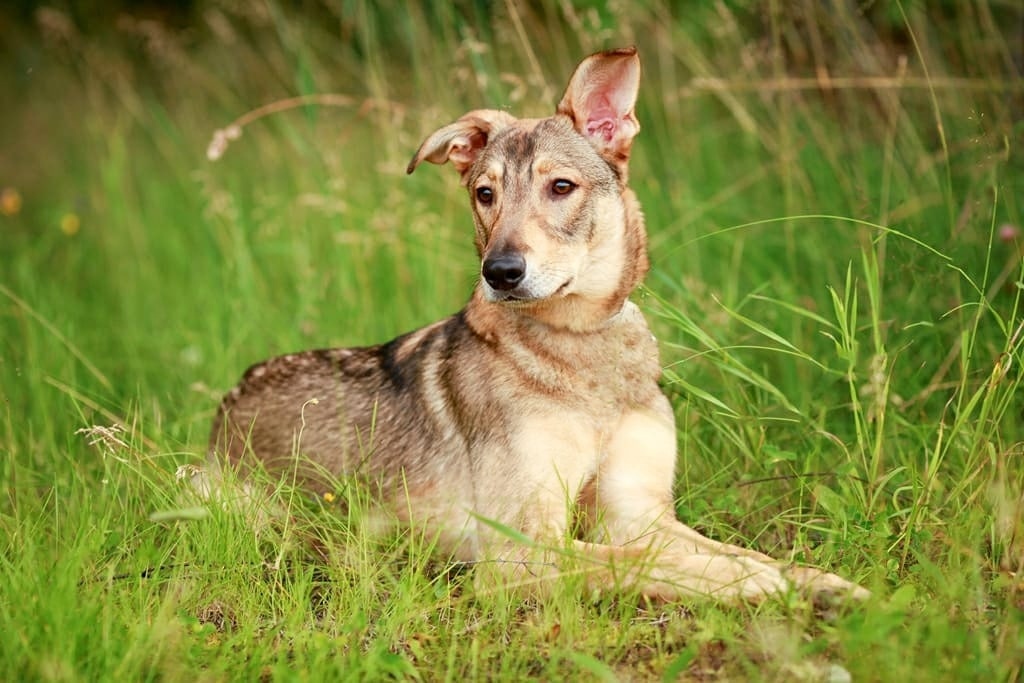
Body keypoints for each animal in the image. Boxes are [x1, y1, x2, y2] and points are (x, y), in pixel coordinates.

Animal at [203, 46, 868, 602]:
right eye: (484, 194)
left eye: (561, 187)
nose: (500, 272)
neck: (581, 345)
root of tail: (224, 407)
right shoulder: (518, 548)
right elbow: (656, 564)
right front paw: (761, 588)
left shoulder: (643, 513)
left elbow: (739, 553)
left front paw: (827, 584)